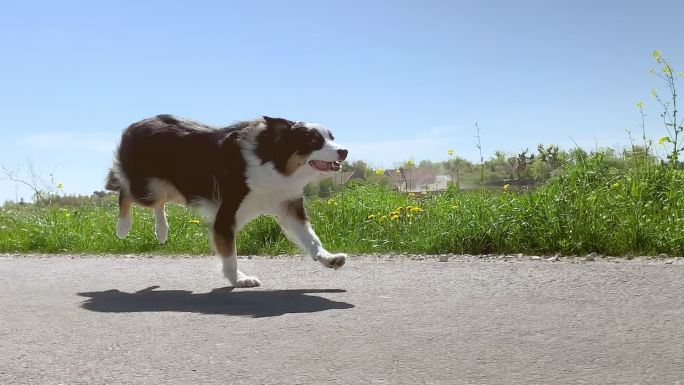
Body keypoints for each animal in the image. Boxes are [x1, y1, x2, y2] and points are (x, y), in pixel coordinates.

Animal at [107, 115, 352, 286]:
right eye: (313, 141)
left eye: (331, 137)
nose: (344, 151)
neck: (271, 159)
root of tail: (136, 124)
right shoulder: (226, 215)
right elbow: (230, 254)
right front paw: (238, 279)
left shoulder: (289, 205)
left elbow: (311, 238)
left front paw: (328, 258)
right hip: (149, 188)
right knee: (125, 191)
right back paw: (123, 227)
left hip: (172, 187)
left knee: (158, 203)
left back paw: (161, 231)